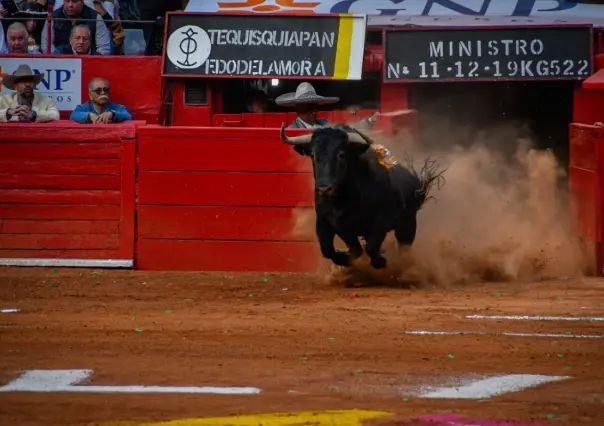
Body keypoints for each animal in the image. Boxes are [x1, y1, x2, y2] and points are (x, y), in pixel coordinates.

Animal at [280, 123, 446, 270]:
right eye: (313, 155)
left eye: (341, 154)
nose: (324, 187)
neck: (342, 200)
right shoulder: (326, 223)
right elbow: (329, 250)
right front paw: (346, 259)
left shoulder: (380, 222)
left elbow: (371, 247)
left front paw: (381, 261)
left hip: (408, 223)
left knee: (404, 248)